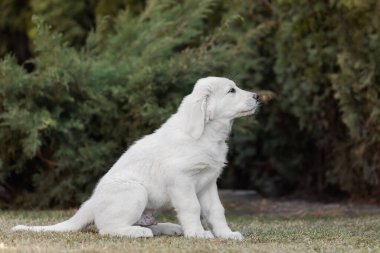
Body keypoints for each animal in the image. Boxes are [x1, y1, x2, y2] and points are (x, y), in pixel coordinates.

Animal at [13, 76, 260, 240]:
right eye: (231, 91)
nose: (257, 96)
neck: (206, 134)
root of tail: (91, 203)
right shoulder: (181, 180)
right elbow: (193, 207)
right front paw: (198, 234)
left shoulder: (208, 182)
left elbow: (216, 210)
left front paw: (227, 234)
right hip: (135, 191)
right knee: (107, 228)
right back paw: (138, 232)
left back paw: (167, 228)